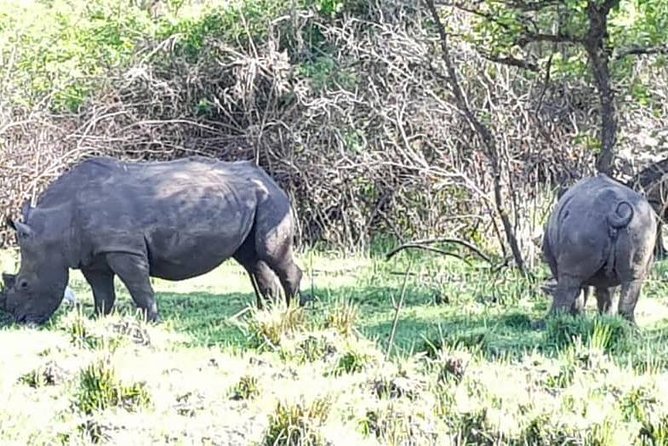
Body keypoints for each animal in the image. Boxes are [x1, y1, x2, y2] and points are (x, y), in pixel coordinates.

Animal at [1, 157, 304, 324]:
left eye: (24, 284)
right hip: (249, 198)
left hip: (271, 198)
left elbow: (139, 286)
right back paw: (266, 313)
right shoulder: (92, 255)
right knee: (251, 259)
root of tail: (267, 176)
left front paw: (151, 321)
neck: (54, 227)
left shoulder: (124, 248)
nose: (20, 321)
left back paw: (295, 309)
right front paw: (98, 320)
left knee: (268, 252)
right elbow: (102, 292)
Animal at [544, 172, 656, 322]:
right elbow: (605, 291)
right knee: (633, 278)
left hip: (583, 224)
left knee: (570, 278)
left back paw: (550, 320)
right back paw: (629, 326)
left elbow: (583, 288)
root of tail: (613, 213)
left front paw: (577, 316)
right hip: (640, 225)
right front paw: (605, 318)